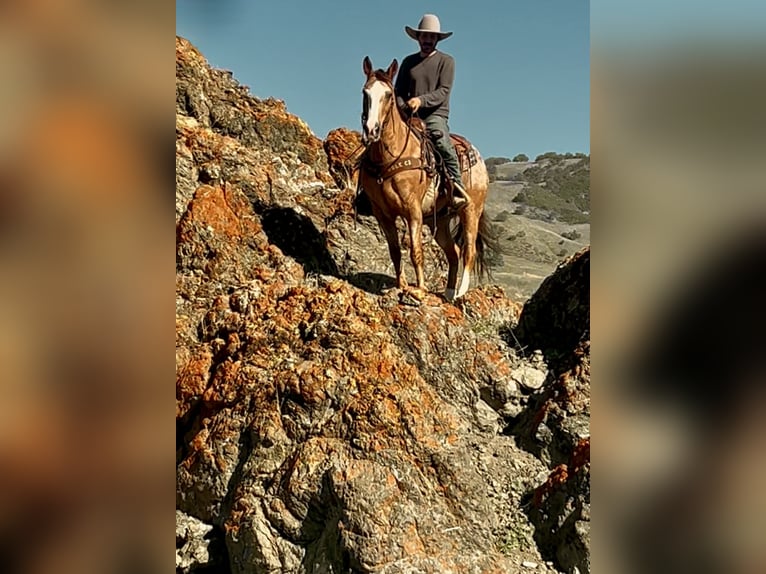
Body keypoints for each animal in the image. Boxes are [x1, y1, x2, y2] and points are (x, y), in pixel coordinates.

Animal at [359, 56, 493, 301]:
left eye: (388, 94)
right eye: (365, 93)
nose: (371, 130)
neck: (388, 158)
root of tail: (478, 158)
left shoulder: (413, 210)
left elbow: (416, 250)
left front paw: (419, 290)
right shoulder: (383, 213)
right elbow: (395, 251)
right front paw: (400, 286)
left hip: (471, 210)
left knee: (468, 250)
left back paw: (460, 292)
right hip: (440, 221)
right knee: (453, 252)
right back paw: (448, 293)